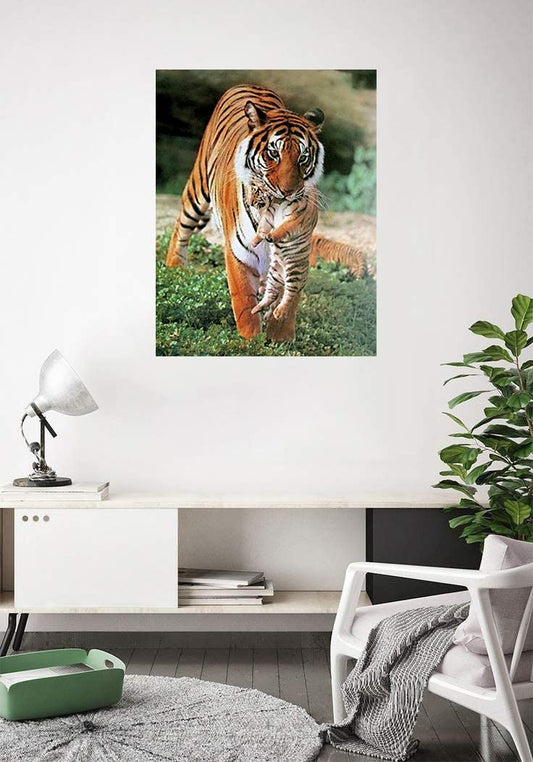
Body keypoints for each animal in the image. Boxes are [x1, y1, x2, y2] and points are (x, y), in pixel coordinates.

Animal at [165, 84, 365, 341]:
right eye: (273, 154)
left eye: (303, 157)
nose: (288, 191)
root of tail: (250, 85)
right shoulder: (239, 253)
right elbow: (245, 304)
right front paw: (252, 342)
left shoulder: (297, 252)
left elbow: (291, 295)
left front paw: (280, 337)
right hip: (198, 191)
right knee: (181, 226)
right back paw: (174, 266)